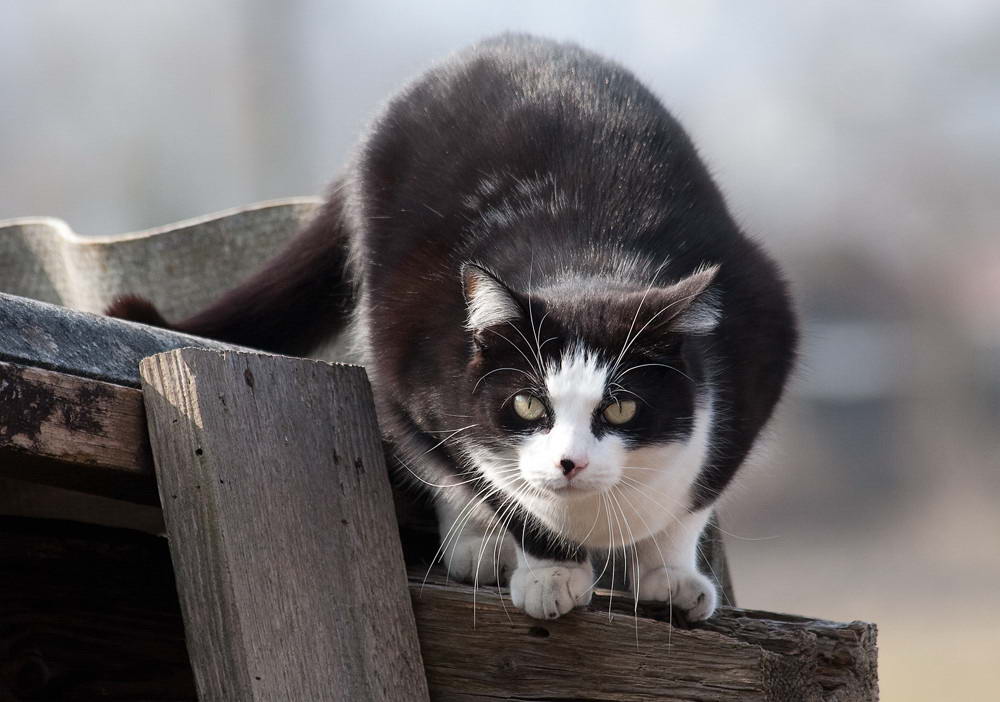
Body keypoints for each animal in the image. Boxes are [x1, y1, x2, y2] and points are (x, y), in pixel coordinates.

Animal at [109, 35, 796, 624]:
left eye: (622, 409)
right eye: (528, 404)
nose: (569, 462)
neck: (587, 263)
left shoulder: (760, 342)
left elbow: (697, 494)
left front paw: (669, 573)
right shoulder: (417, 371)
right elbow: (481, 474)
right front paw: (549, 571)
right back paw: (479, 547)